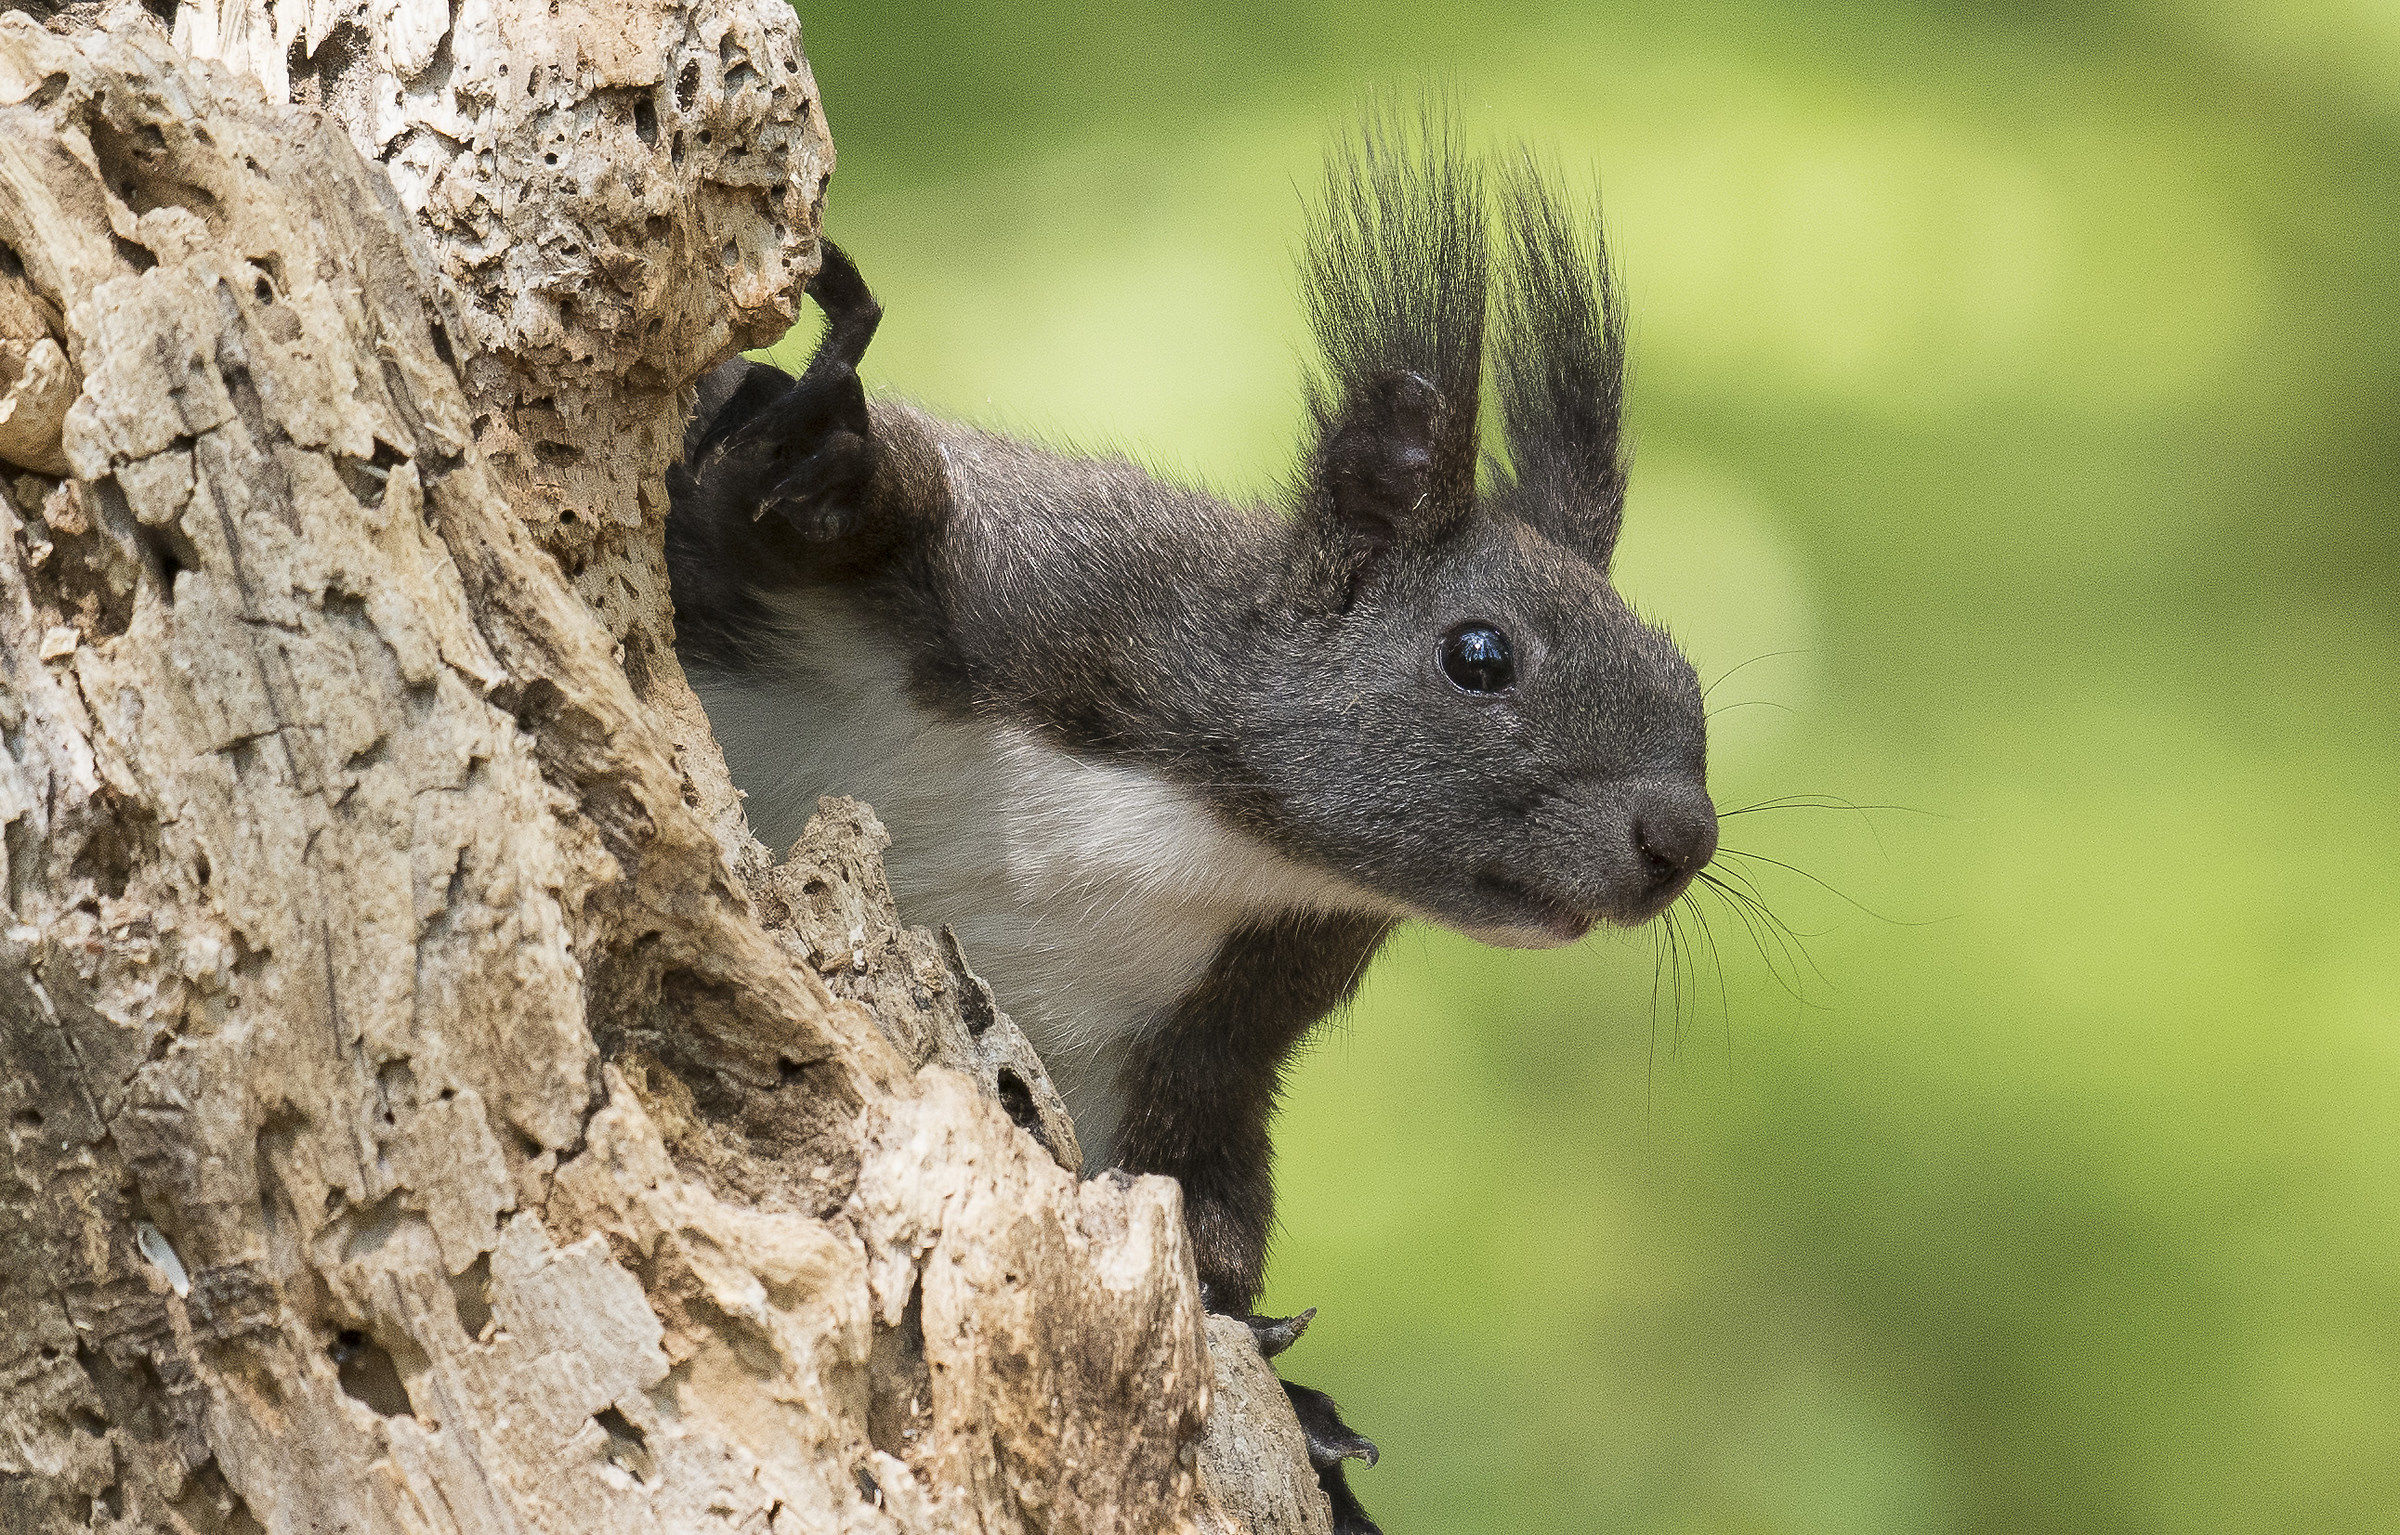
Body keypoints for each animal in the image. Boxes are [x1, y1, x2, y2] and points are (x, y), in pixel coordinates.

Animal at [666, 113, 1716, 1533]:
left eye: (1687, 677)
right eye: (1478, 654)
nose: (1681, 838)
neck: (1212, 824)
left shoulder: (1207, 1041)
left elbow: (1212, 1208)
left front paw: (1300, 1400)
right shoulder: (1038, 584)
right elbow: (798, 505)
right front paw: (821, 436)